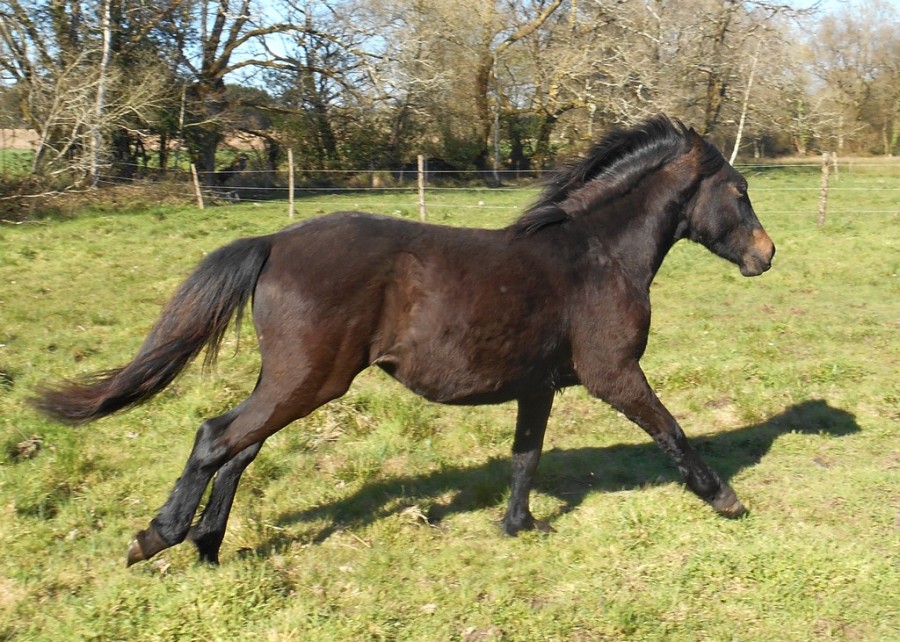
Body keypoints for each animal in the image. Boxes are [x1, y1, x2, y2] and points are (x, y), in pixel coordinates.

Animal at [33, 114, 775, 566]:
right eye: (738, 192)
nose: (766, 255)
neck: (596, 255)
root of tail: (272, 242)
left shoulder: (537, 386)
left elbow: (525, 456)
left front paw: (519, 526)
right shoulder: (613, 374)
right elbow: (671, 431)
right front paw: (726, 499)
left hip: (291, 380)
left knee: (239, 450)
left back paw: (209, 548)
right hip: (310, 380)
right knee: (216, 438)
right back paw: (157, 537)